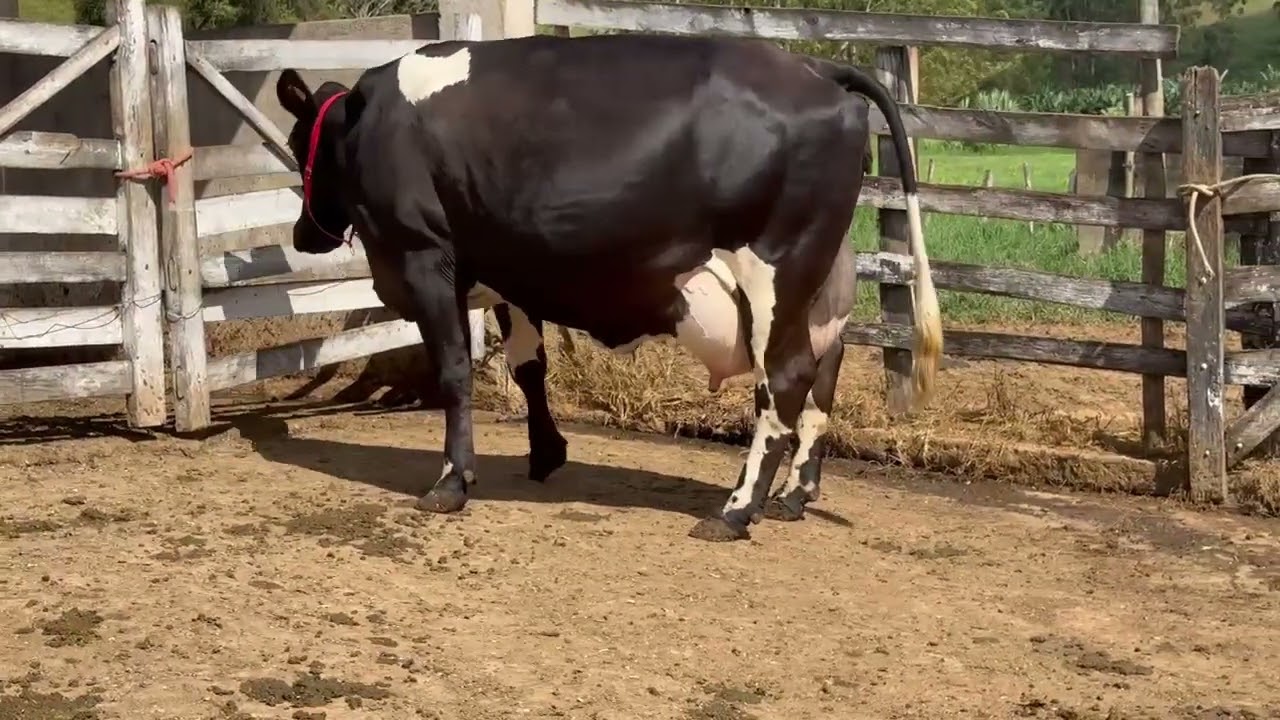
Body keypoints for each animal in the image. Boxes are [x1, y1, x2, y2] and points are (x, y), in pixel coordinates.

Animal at [273, 31, 941, 542]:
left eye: (295, 142)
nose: (302, 233)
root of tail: (816, 66)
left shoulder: (424, 257)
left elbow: (455, 370)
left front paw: (451, 482)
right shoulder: (514, 270)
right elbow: (529, 366)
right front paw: (546, 454)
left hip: (775, 267)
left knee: (785, 380)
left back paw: (735, 511)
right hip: (822, 285)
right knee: (824, 373)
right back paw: (793, 496)